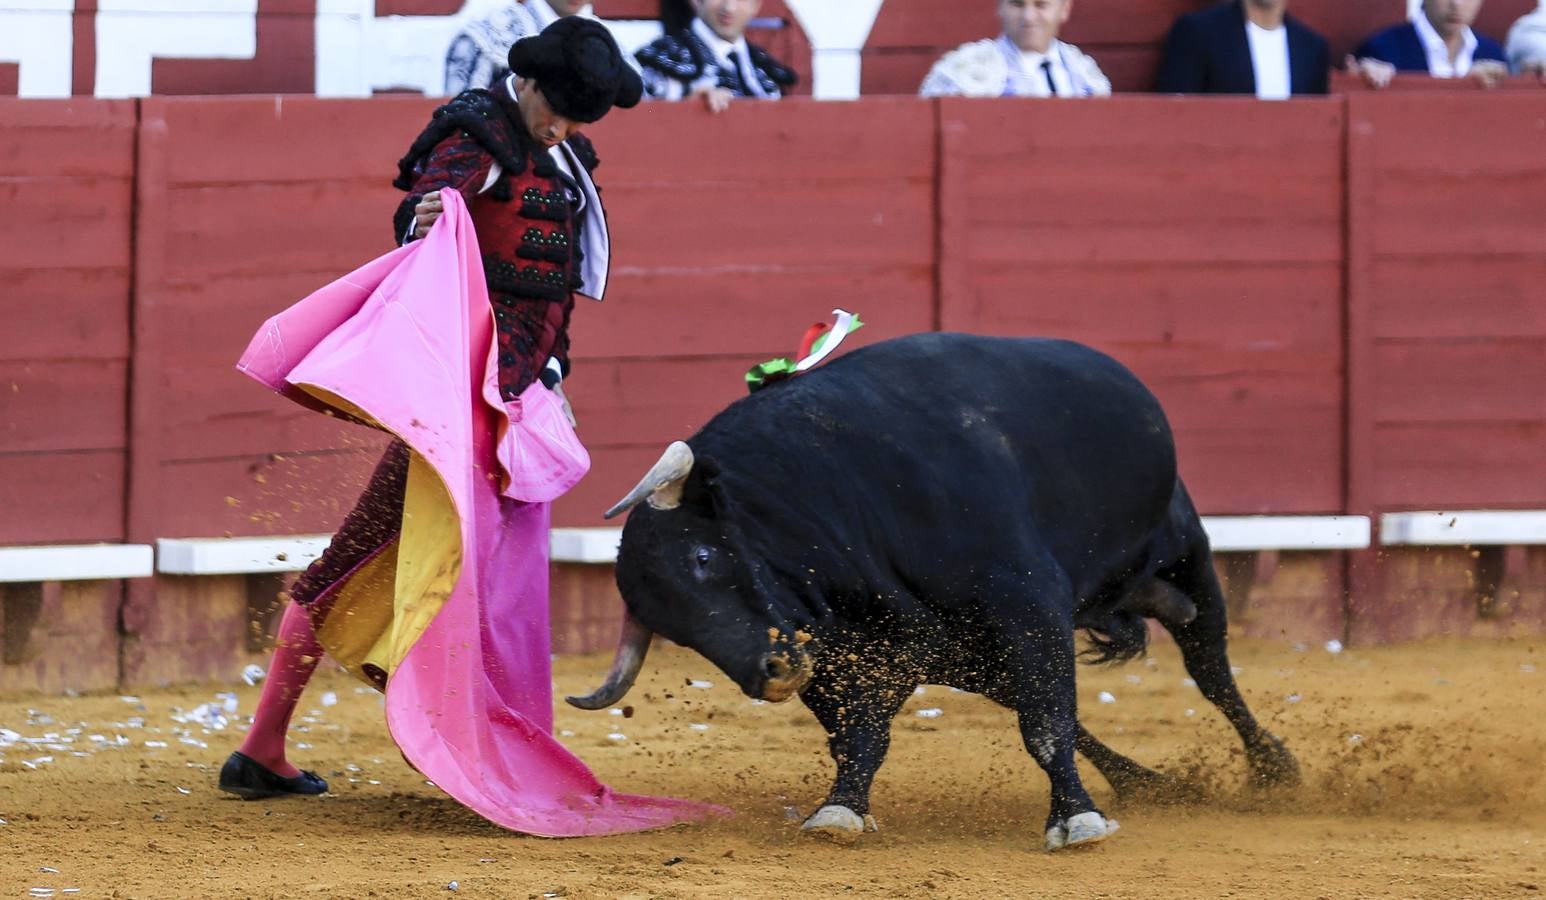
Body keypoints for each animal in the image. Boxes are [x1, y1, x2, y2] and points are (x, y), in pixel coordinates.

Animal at [568, 334, 1292, 853]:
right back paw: (1147, 784)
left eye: (701, 556)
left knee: (1209, 665)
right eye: (674, 629)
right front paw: (839, 810)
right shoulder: (854, 651)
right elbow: (860, 736)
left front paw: (1076, 820)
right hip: (983, 654)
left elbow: (1046, 725)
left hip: (1186, 552)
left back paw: (1274, 769)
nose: (770, 674)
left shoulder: (1026, 606)